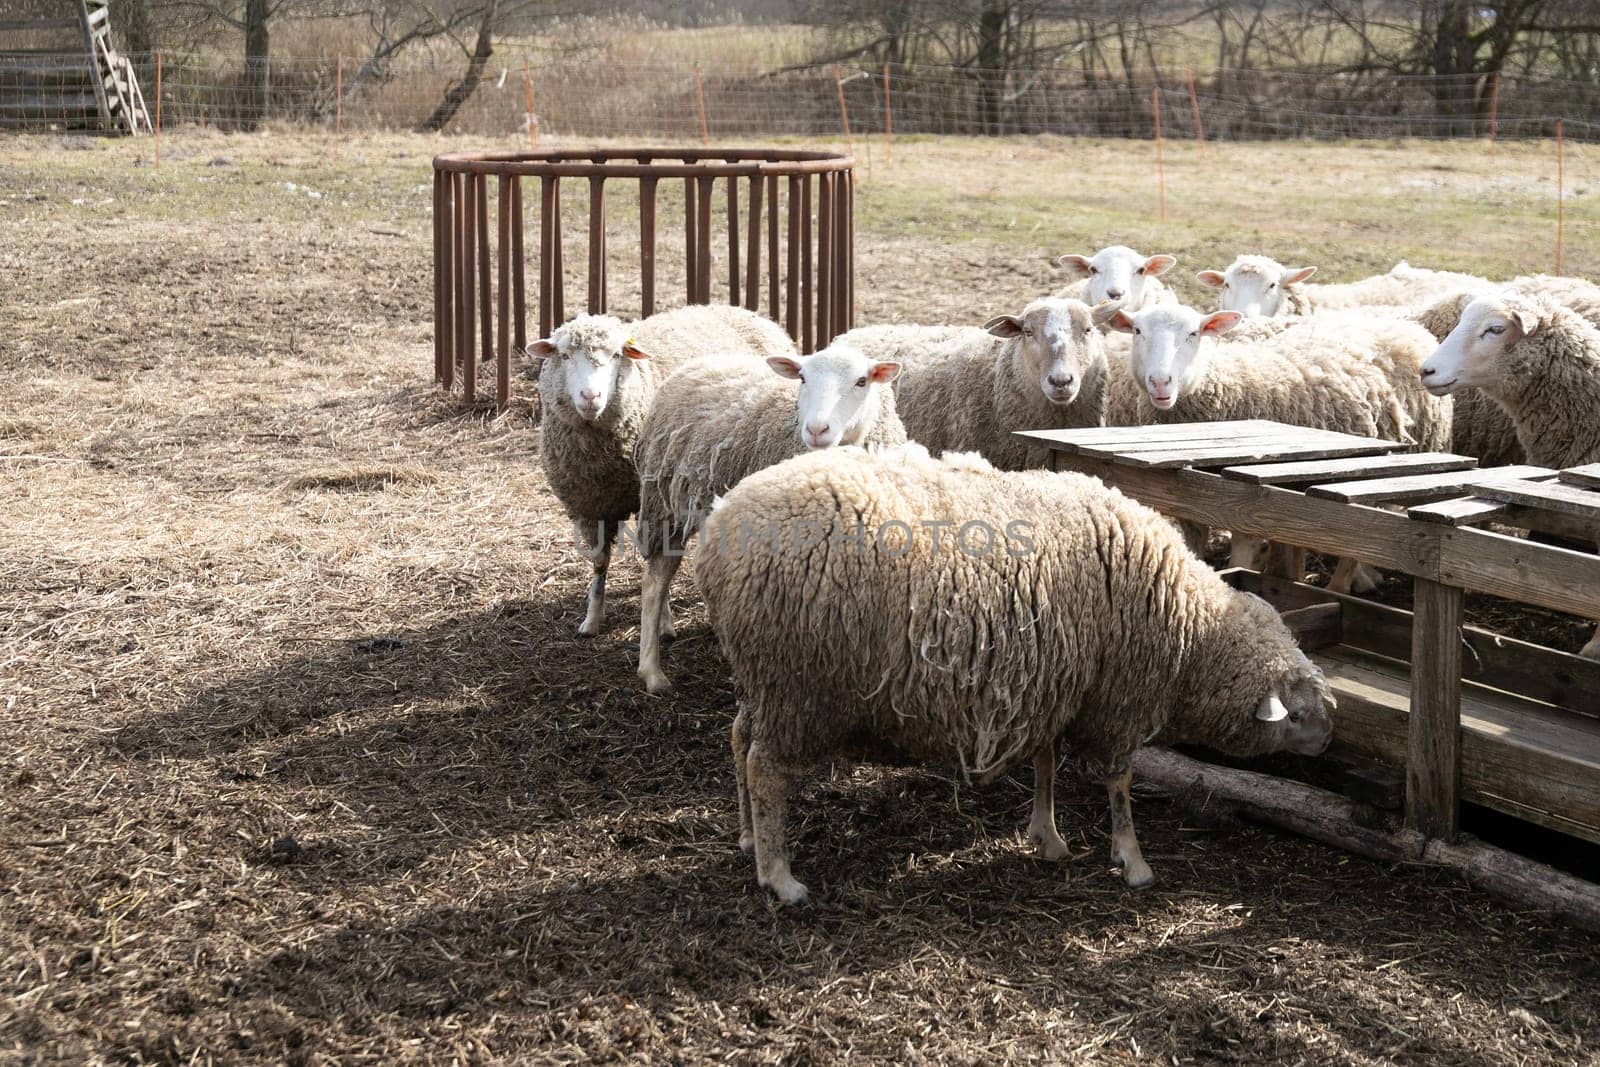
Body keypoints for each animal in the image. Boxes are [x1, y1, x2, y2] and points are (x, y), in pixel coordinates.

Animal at [531, 302, 793, 633]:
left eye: (616, 355)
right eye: (564, 356)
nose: (591, 397)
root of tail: (737, 309)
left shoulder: (656, 497)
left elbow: (656, 564)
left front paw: (664, 620)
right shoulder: (590, 505)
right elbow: (600, 562)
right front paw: (592, 618)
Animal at [636, 342, 915, 694]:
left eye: (862, 381)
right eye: (803, 377)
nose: (816, 430)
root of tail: (702, 361)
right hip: (664, 503)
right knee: (655, 581)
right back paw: (652, 670)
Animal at [700, 447, 1337, 908]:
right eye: (1297, 713)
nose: (1328, 737)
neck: (1191, 633)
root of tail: (718, 531)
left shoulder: (1058, 685)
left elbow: (1046, 762)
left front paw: (1046, 835)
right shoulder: (1117, 699)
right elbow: (1120, 784)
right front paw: (1132, 859)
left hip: (764, 679)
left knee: (737, 739)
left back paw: (750, 836)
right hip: (801, 685)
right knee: (765, 770)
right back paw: (778, 876)